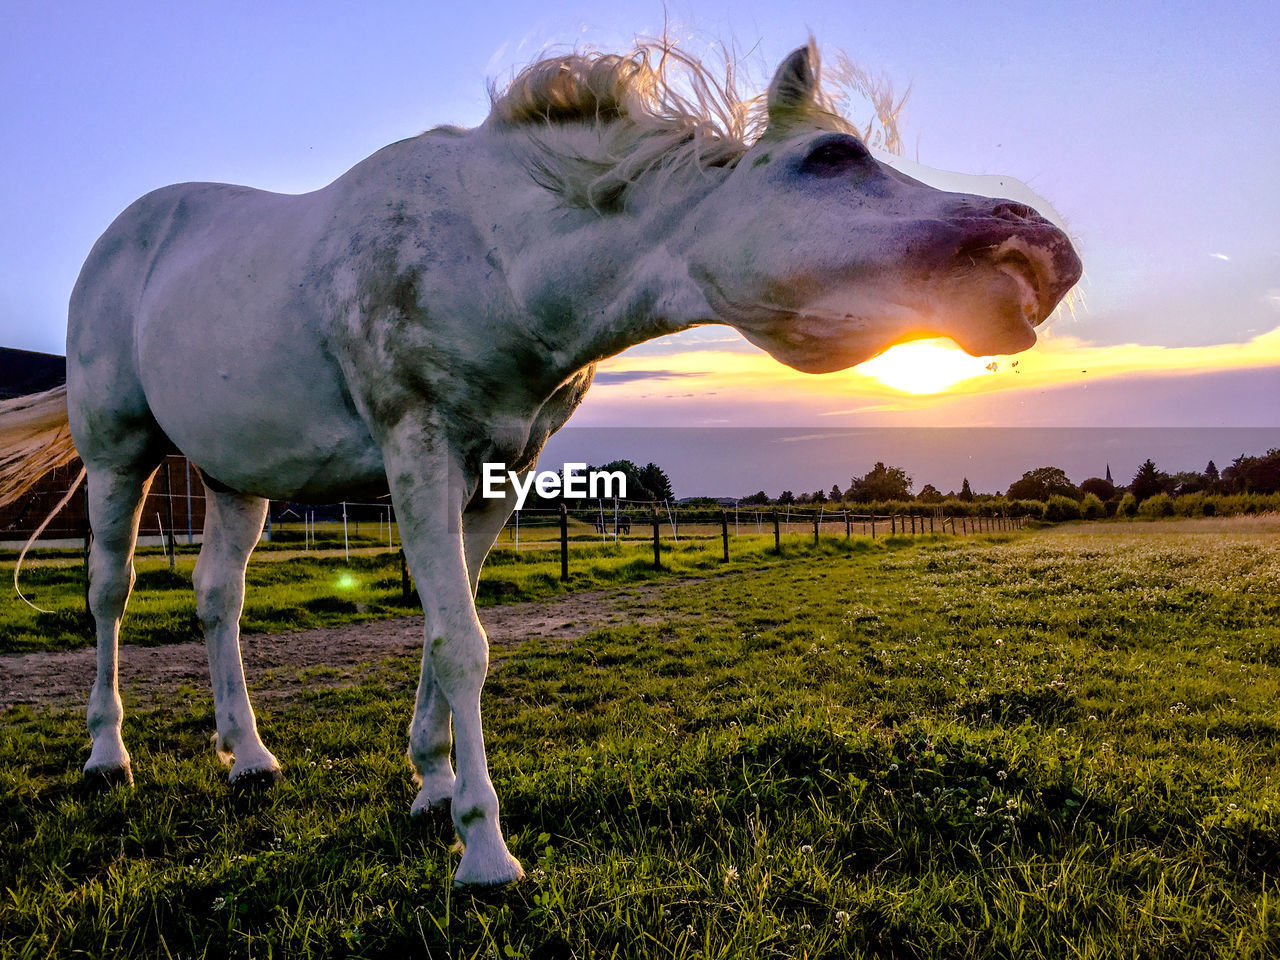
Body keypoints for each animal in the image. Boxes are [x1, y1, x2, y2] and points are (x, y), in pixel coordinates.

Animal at [0, 43, 1080, 885]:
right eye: (830, 156)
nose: (1043, 254)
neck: (499, 255)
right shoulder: (417, 448)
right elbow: (463, 642)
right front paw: (483, 850)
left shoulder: (499, 472)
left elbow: (445, 633)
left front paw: (433, 785)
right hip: (119, 456)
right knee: (110, 592)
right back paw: (108, 754)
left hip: (236, 479)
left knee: (216, 598)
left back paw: (248, 756)